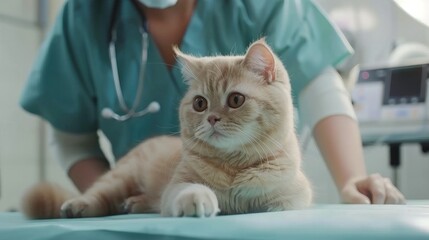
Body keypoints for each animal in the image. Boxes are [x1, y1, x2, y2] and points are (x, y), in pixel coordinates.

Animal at [21, 38, 310, 219]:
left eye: (236, 100)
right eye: (200, 103)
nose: (212, 118)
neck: (233, 166)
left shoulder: (294, 197)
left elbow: (277, 205)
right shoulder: (177, 184)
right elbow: (189, 190)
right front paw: (198, 199)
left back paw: (133, 204)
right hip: (120, 177)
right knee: (99, 196)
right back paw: (79, 205)